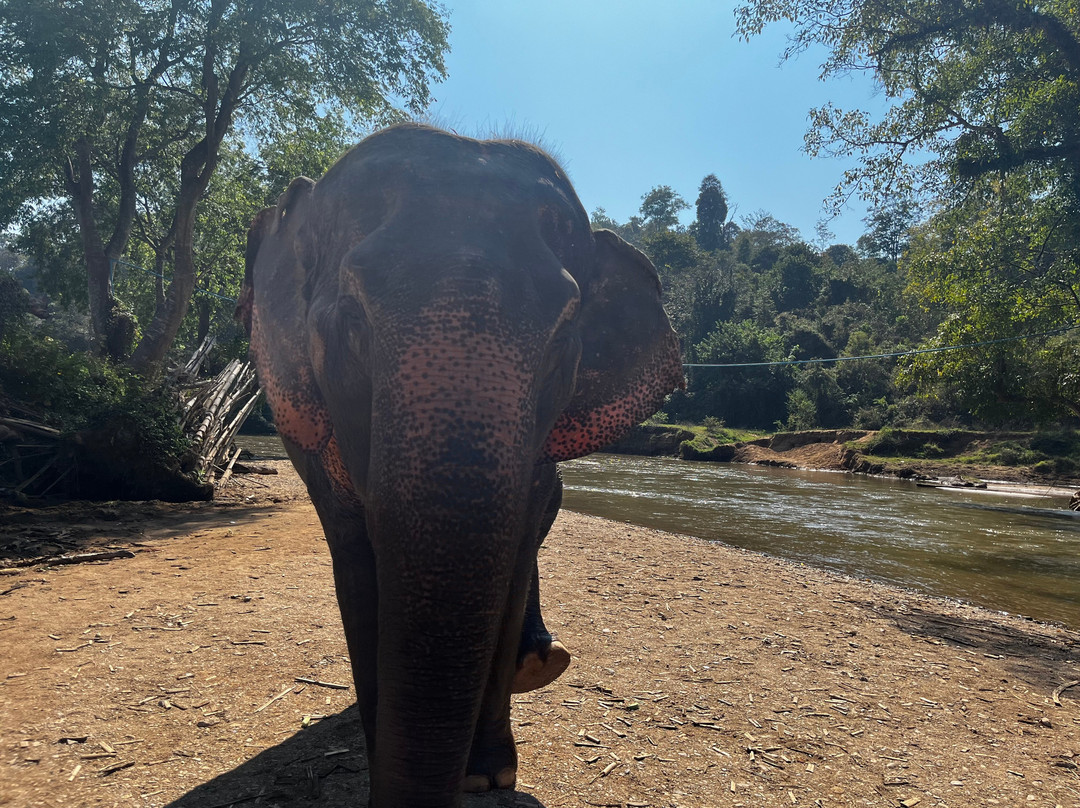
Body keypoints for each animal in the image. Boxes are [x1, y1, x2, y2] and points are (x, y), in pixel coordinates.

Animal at [239, 123, 684, 808]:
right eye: (349, 328)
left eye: (562, 341)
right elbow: (357, 568)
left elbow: (508, 565)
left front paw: (488, 775)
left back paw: (541, 664)